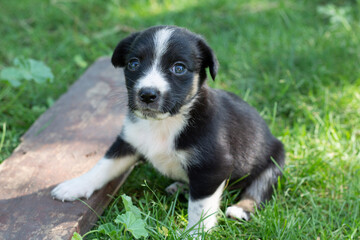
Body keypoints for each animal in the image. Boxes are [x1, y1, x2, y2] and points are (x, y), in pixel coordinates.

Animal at [52, 25, 286, 232]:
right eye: (133, 63)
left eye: (179, 68)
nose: (147, 95)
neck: (164, 123)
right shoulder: (129, 141)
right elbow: (103, 166)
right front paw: (75, 185)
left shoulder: (213, 167)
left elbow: (199, 209)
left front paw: (194, 234)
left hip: (274, 161)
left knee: (258, 190)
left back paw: (240, 209)